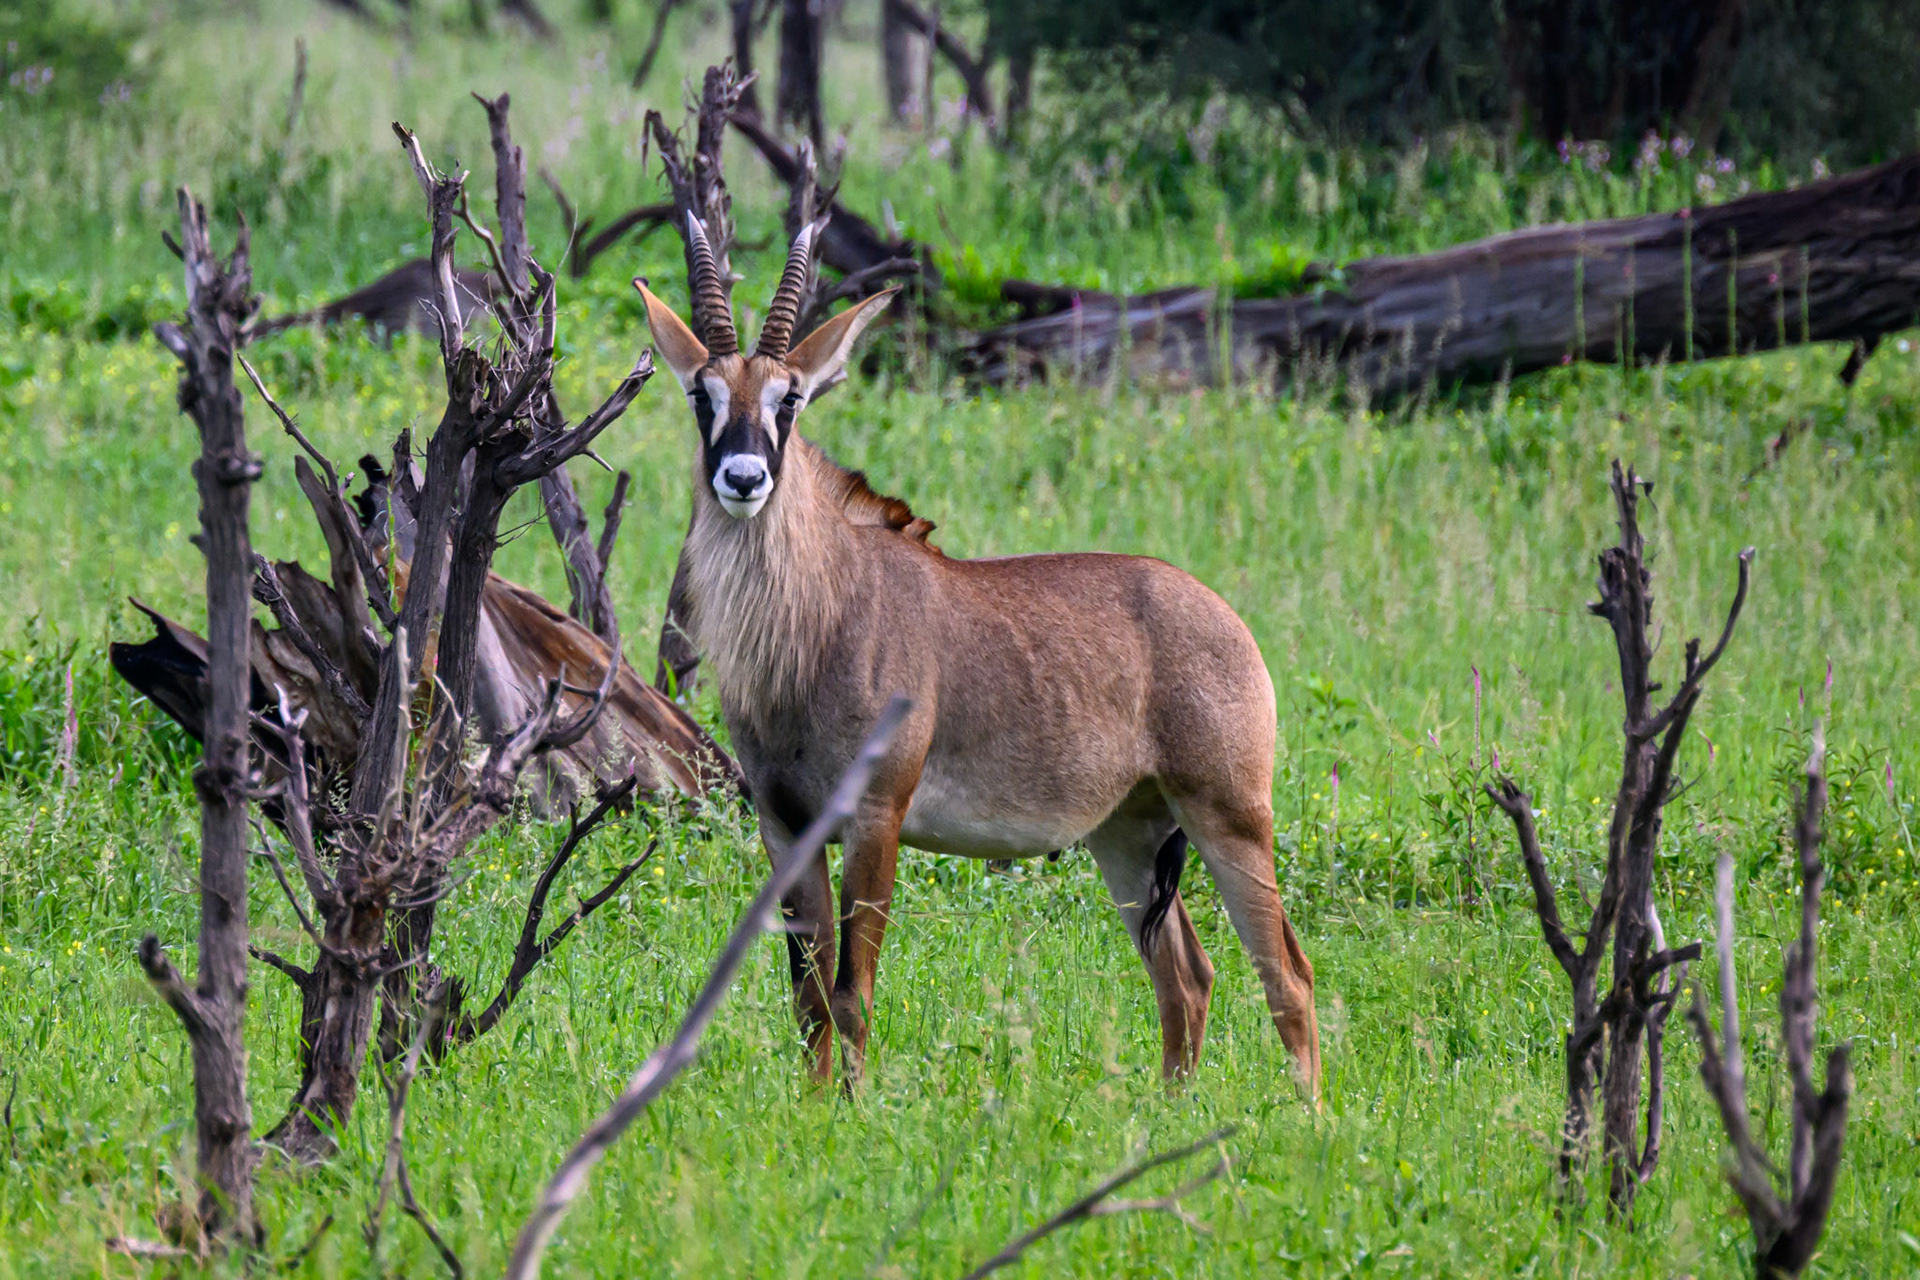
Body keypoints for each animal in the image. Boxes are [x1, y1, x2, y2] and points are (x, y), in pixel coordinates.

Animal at [635, 214, 1320, 1092]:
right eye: (702, 394)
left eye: (791, 397)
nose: (744, 477)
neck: (819, 620)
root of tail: (1226, 618)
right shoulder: (786, 827)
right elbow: (808, 997)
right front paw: (813, 1107)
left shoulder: (876, 819)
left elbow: (852, 992)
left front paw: (853, 1109)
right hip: (1128, 834)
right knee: (1186, 976)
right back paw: (1170, 1108)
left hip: (1229, 814)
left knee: (1286, 973)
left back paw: (1303, 1114)